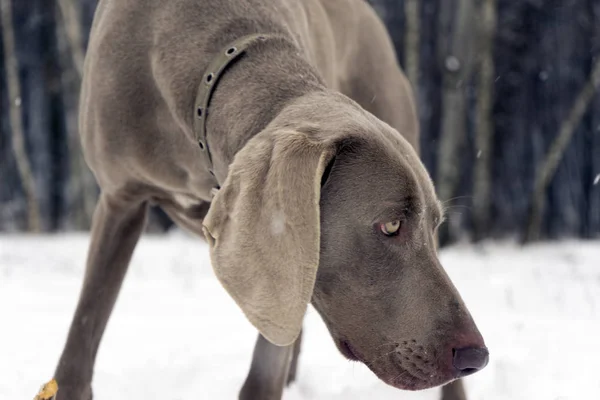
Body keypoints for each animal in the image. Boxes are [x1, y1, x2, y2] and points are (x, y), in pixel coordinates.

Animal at [55, 0, 488, 400]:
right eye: (392, 225)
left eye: (433, 224)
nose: (476, 357)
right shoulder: (120, 200)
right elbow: (82, 334)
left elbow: (265, 371)